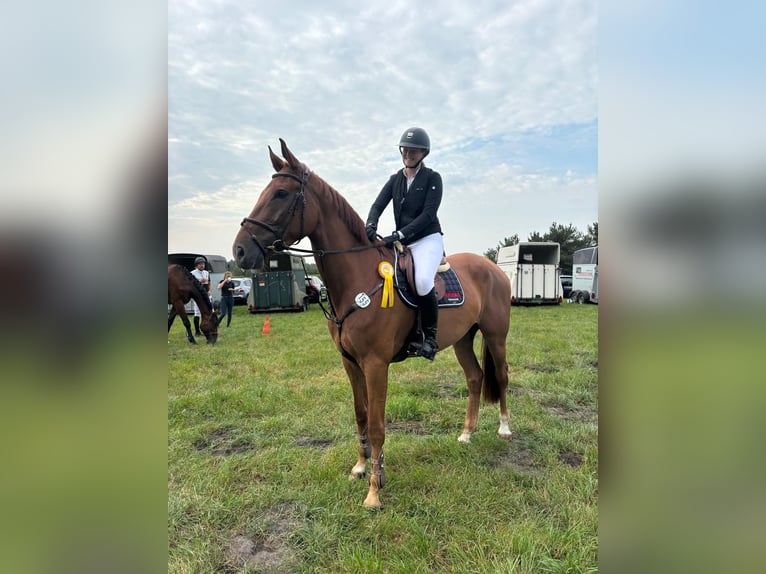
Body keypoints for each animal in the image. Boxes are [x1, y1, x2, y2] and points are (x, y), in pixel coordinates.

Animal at [231, 142, 512, 510]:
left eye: (280, 194)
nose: (240, 250)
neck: (358, 278)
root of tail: (493, 268)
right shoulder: (350, 363)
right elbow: (361, 414)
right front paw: (361, 467)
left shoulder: (376, 364)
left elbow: (378, 424)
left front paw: (375, 490)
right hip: (463, 339)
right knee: (475, 377)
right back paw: (466, 433)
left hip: (495, 335)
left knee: (502, 376)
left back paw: (504, 429)